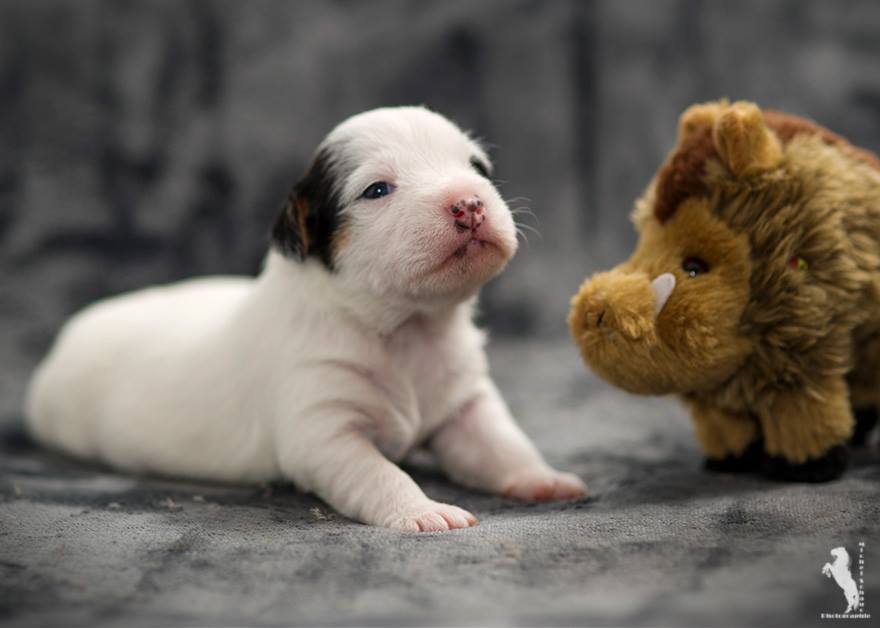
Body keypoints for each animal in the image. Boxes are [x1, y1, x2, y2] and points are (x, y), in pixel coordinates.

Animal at [27, 106, 588, 528]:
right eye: (377, 190)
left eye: (477, 168)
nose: (470, 203)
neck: (407, 327)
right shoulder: (324, 429)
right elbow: (379, 473)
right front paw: (421, 509)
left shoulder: (465, 404)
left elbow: (500, 442)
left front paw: (541, 477)